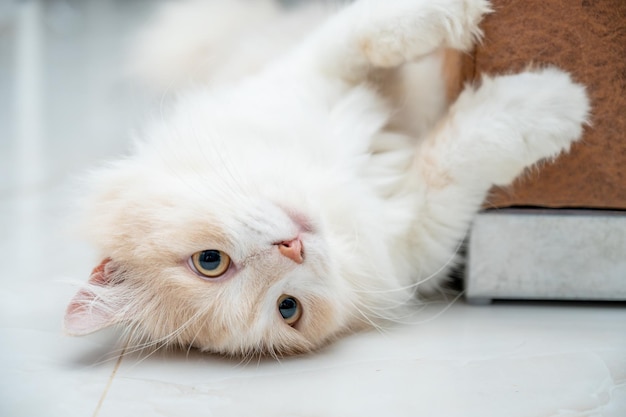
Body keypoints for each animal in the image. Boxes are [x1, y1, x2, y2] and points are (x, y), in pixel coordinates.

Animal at [63, 0, 584, 358]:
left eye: (208, 262)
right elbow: (461, 151)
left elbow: (369, 31)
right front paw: (556, 103)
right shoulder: (423, 233)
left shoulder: (309, 74)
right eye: (287, 308)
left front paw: (456, 12)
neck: (331, 186)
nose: (293, 247)